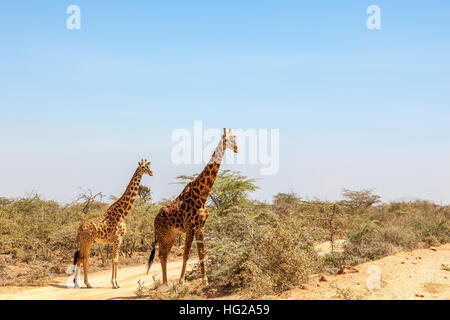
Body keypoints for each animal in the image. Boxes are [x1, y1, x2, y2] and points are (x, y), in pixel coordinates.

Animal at [67, 159, 154, 288]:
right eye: (143, 167)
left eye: (149, 166)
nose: (152, 173)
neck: (123, 213)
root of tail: (79, 228)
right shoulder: (118, 238)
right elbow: (115, 260)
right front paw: (116, 283)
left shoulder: (115, 240)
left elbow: (113, 260)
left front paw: (113, 282)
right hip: (87, 241)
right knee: (82, 258)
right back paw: (81, 283)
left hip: (85, 242)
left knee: (82, 259)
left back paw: (86, 283)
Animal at [148, 129, 239, 292]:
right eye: (226, 139)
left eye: (235, 138)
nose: (236, 149)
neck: (202, 194)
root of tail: (155, 219)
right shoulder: (190, 226)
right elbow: (187, 254)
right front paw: (181, 282)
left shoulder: (200, 227)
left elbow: (202, 254)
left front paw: (205, 282)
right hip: (163, 234)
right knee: (161, 255)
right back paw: (165, 284)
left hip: (171, 234)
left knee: (163, 255)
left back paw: (166, 284)